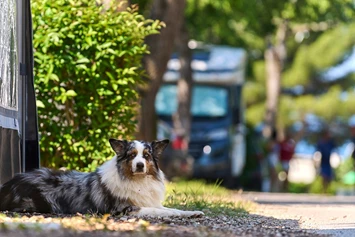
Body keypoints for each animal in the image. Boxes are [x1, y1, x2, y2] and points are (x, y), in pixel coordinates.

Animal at [0, 139, 204, 218]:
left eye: (146, 156)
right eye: (131, 156)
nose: (140, 165)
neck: (136, 181)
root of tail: (8, 184)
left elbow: (171, 209)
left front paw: (193, 213)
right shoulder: (125, 209)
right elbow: (158, 211)